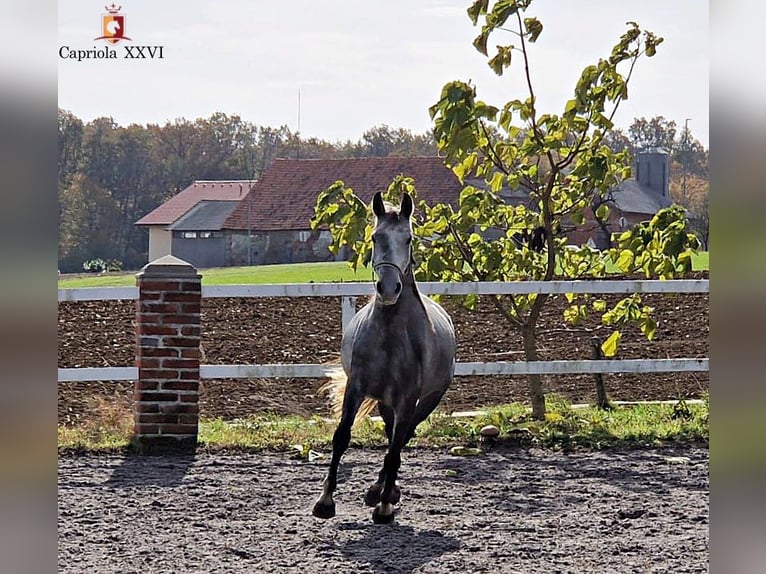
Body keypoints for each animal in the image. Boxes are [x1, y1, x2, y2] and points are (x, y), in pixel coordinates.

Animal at [312, 194, 456, 528]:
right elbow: (342, 437)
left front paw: (385, 507)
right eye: (376, 237)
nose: (389, 289)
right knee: (392, 434)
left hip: (425, 400)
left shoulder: (408, 398)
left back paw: (386, 493)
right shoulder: (357, 388)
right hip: (385, 402)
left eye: (409, 239)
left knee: (401, 439)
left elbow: (394, 449)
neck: (390, 336)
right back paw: (379, 489)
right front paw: (325, 501)